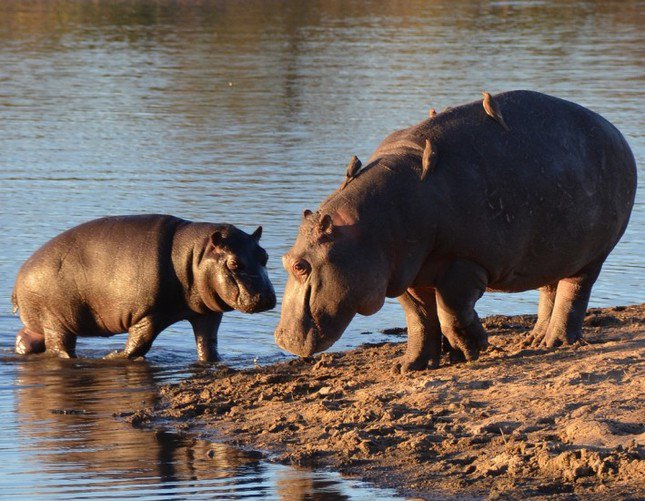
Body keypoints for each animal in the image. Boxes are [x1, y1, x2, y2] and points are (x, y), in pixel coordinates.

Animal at [12, 214, 276, 361]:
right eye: (233, 263)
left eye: (264, 255)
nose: (267, 298)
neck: (195, 256)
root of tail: (20, 276)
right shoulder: (150, 314)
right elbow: (140, 344)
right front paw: (113, 356)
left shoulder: (208, 313)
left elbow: (208, 343)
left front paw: (214, 360)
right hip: (55, 322)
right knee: (59, 349)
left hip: (43, 324)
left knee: (26, 338)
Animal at [275, 90, 637, 372]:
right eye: (284, 259)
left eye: (300, 266)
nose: (280, 337)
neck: (373, 225)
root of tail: (615, 131)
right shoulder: (404, 273)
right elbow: (420, 319)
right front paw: (410, 366)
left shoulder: (465, 263)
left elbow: (451, 312)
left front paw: (470, 350)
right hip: (553, 251)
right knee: (550, 288)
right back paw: (535, 338)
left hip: (592, 256)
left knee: (574, 292)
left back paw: (557, 343)